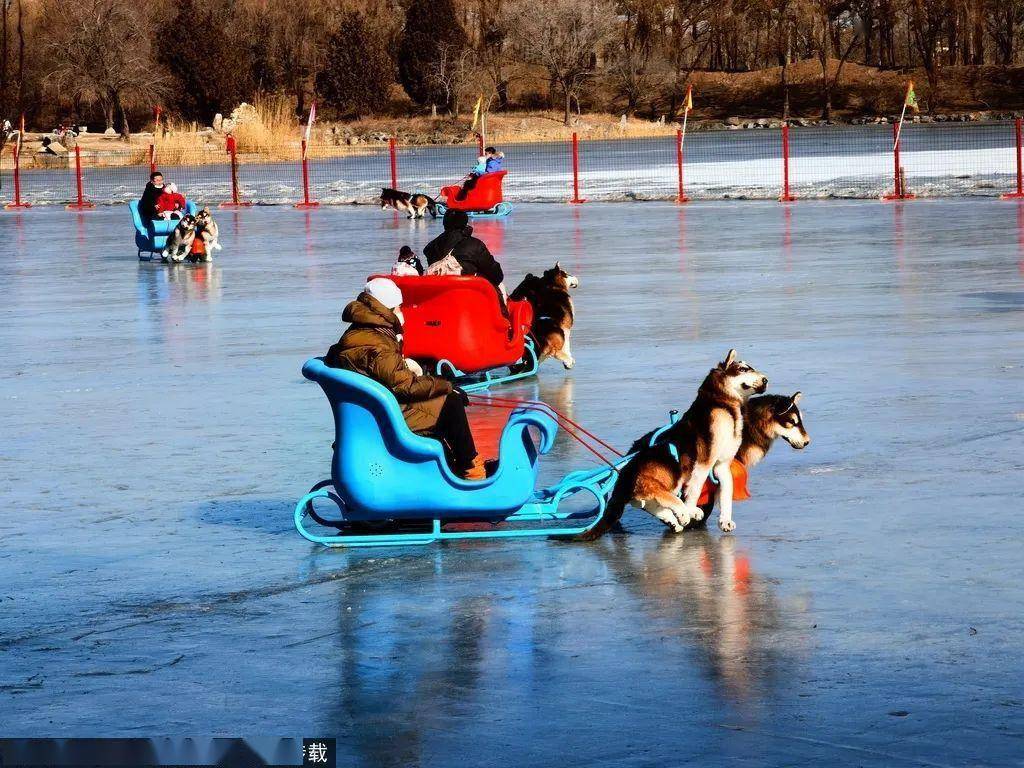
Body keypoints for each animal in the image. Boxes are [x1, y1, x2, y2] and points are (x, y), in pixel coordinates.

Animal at [581, 350, 765, 540]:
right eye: (743, 369)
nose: (766, 380)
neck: (721, 404)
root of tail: (624, 475)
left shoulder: (722, 465)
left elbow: (726, 494)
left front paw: (725, 520)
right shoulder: (704, 463)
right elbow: (695, 490)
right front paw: (691, 509)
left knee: (648, 503)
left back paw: (673, 520)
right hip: (669, 476)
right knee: (664, 496)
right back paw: (684, 513)